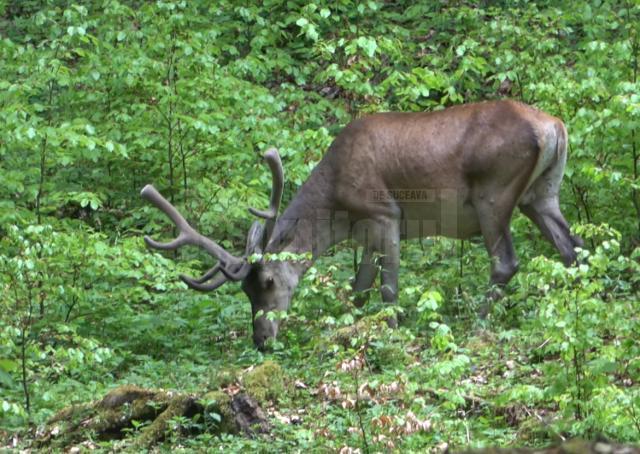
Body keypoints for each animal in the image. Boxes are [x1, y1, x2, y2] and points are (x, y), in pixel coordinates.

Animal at [142, 100, 584, 348]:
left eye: (267, 282)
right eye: (246, 292)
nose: (262, 341)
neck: (337, 208)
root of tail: (555, 127)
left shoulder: (385, 214)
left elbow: (387, 289)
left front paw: (390, 331)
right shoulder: (366, 232)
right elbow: (358, 288)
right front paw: (349, 327)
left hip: (494, 194)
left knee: (506, 261)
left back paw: (476, 324)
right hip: (542, 194)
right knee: (574, 248)